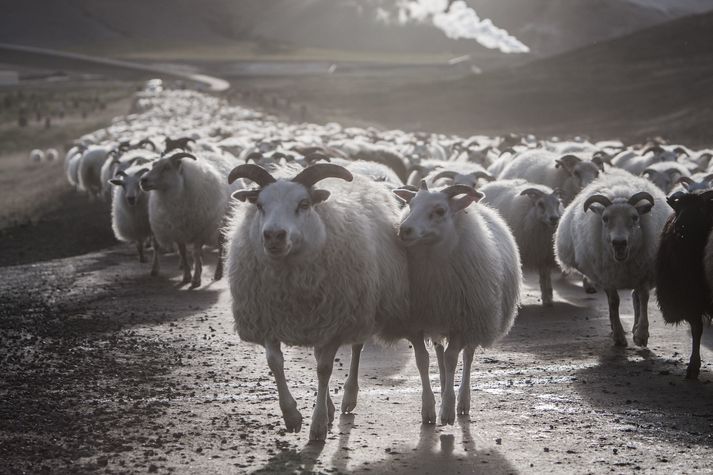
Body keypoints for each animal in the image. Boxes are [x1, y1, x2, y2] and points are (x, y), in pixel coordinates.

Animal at [138, 152, 229, 288]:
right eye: (153, 165)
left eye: (166, 167)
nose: (143, 180)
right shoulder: (178, 231)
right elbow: (183, 253)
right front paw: (187, 276)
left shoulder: (199, 231)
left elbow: (195, 253)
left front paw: (196, 279)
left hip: (221, 227)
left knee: (221, 247)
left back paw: (218, 273)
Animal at [225, 164, 408, 442]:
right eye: (260, 205)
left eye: (304, 204)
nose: (274, 236)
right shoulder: (267, 319)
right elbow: (275, 363)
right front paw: (292, 416)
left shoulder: (336, 322)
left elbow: (324, 369)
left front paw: (318, 425)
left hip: (360, 308)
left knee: (356, 349)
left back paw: (348, 398)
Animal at [392, 181, 520, 424]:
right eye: (411, 205)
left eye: (440, 210)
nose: (404, 230)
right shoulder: (416, 322)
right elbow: (423, 360)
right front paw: (429, 409)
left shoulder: (463, 322)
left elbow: (453, 359)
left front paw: (448, 410)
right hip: (440, 319)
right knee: (439, 352)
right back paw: (443, 388)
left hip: (475, 320)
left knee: (467, 356)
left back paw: (462, 402)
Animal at [552, 173, 672, 348]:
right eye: (605, 218)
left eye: (635, 217)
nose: (619, 243)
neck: (623, 263)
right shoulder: (607, 277)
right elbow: (614, 302)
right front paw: (619, 336)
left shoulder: (644, 272)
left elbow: (643, 298)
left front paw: (641, 335)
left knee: (635, 297)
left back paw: (635, 328)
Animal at [652, 190, 712, 380]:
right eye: (678, 208)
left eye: (701, 208)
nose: (679, 225)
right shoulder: (689, 295)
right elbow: (696, 329)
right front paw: (693, 366)